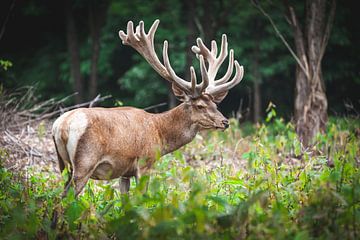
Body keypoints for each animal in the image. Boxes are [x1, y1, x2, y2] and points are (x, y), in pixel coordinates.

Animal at [52, 19, 243, 196]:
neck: (160, 134)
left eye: (215, 104)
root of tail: (61, 126)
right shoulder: (145, 161)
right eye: (200, 106)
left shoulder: (125, 171)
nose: (225, 122)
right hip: (85, 162)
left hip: (64, 165)